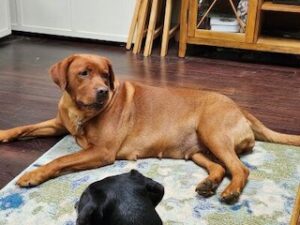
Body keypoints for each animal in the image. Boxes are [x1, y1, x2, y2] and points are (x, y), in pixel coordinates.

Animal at [0, 54, 298, 204]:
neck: (80, 110)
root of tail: (240, 107)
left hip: (213, 132)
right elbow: (27, 127)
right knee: (220, 167)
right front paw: (5, 133)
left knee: (239, 169)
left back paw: (231, 190)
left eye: (106, 75)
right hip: (198, 150)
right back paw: (209, 183)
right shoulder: (59, 123)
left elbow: (60, 160)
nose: (103, 91)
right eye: (84, 73)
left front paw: (33, 175)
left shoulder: (101, 152)